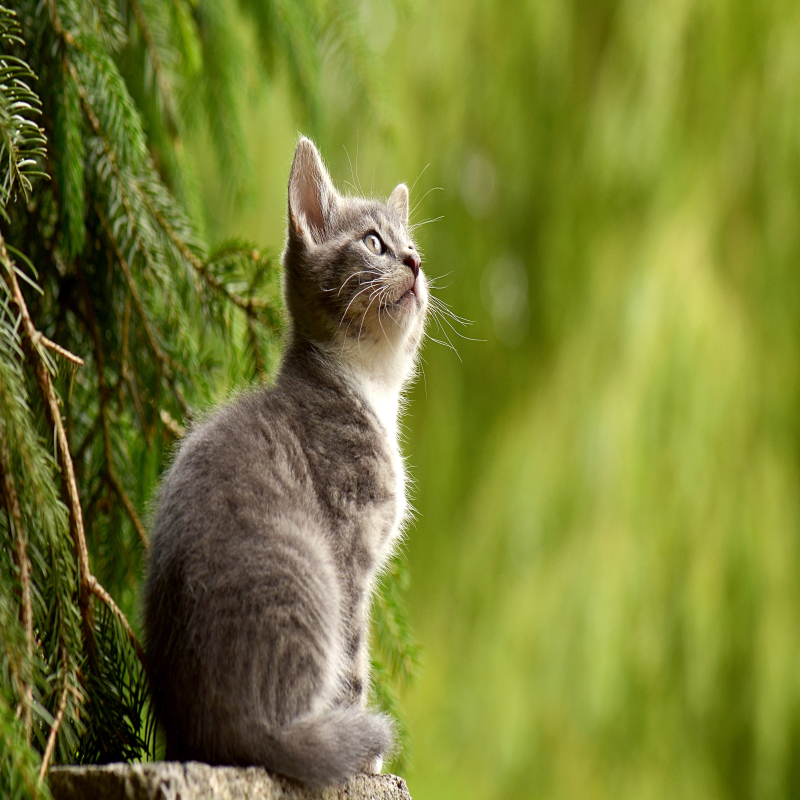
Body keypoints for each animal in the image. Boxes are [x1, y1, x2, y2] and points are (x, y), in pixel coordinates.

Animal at [146, 138, 428, 788]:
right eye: (374, 242)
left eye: (412, 245)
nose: (415, 263)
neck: (367, 388)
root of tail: (224, 732)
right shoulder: (350, 553)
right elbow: (354, 660)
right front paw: (366, 760)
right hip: (311, 572)